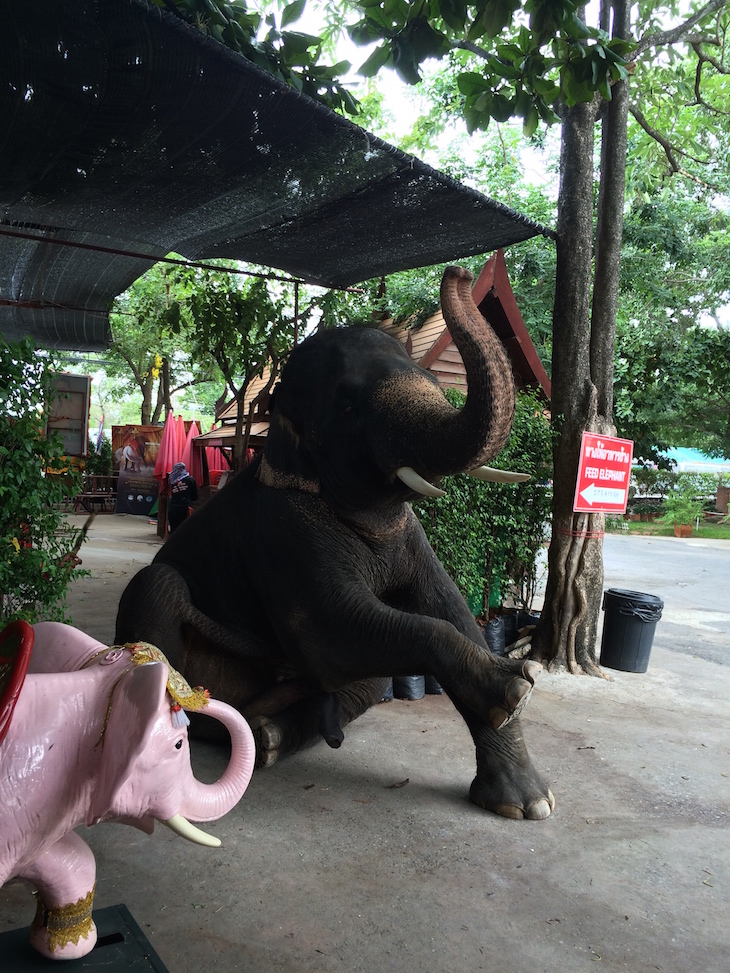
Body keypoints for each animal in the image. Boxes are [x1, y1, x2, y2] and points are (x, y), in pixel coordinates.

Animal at [116, 264, 552, 820]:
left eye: (436, 382)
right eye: (347, 406)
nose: (456, 271)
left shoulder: (410, 536)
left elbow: (450, 609)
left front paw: (527, 804)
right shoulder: (281, 532)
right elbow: (328, 631)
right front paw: (517, 684)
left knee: (367, 683)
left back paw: (267, 736)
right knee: (159, 585)